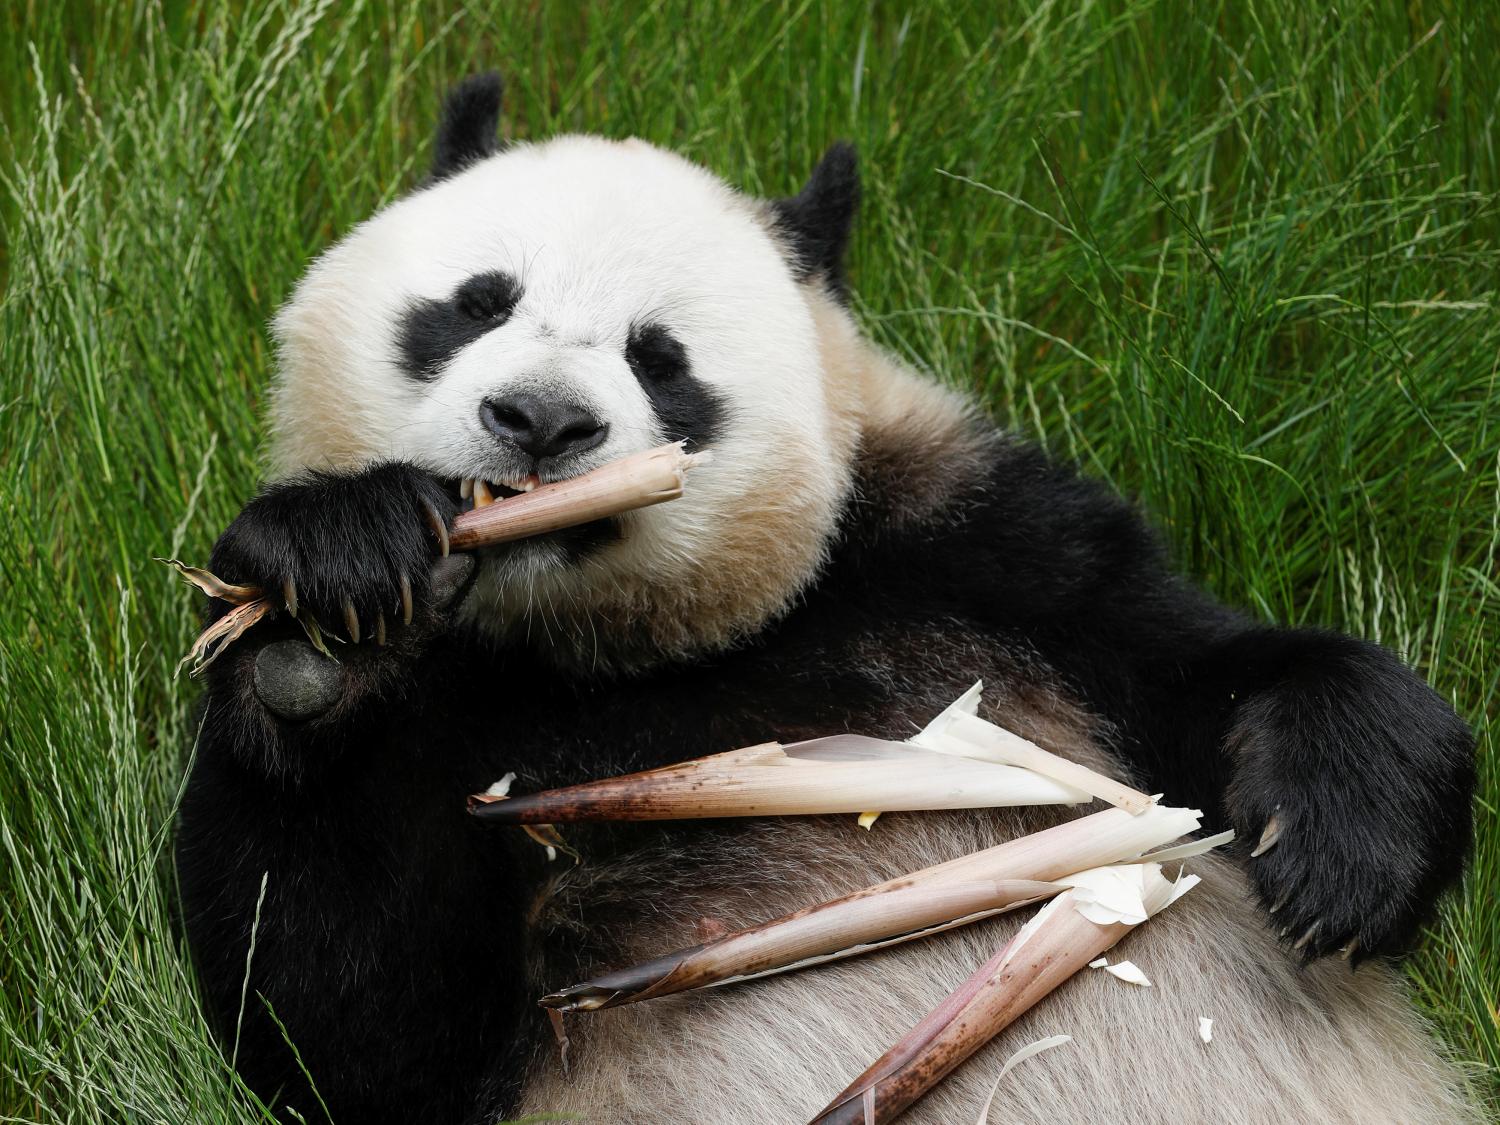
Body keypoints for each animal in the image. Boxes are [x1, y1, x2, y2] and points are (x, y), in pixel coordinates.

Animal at [176, 72, 1479, 1124]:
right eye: (476, 303)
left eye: (662, 359)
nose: (541, 420)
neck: (610, 656)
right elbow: (341, 1024)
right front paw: (325, 621)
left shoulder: (978, 552)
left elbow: (1211, 667)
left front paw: (1339, 853)